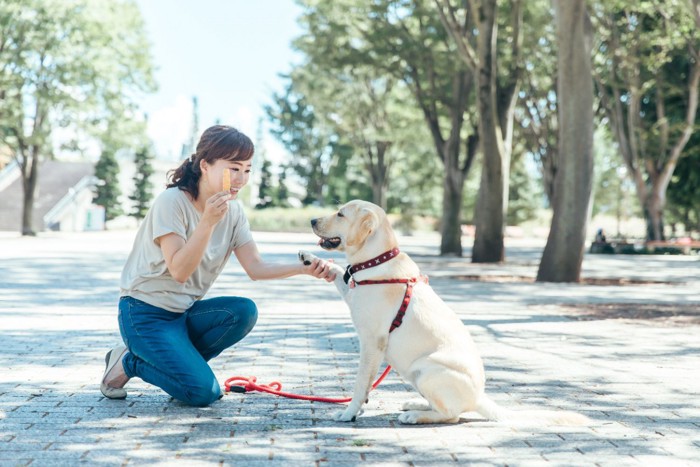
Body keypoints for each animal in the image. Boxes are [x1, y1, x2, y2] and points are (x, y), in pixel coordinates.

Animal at [298, 199, 588, 426]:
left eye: (340, 214)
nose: (311, 219)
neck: (374, 260)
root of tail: (479, 397)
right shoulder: (352, 292)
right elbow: (338, 271)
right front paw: (311, 259)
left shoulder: (372, 342)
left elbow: (360, 384)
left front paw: (348, 413)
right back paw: (415, 405)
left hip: (426, 369)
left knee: (452, 415)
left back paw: (415, 416)